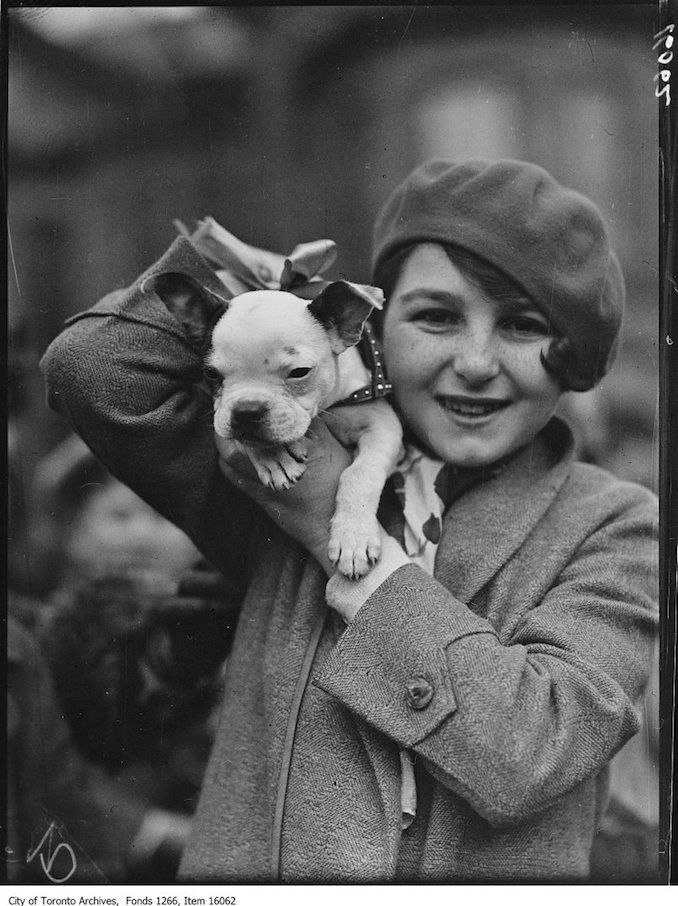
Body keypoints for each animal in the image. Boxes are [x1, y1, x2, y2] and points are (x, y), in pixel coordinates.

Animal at [159, 272, 404, 576]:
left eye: (299, 372)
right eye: (211, 374)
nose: (247, 410)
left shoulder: (381, 422)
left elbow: (360, 473)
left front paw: (353, 537)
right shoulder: (221, 416)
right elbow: (246, 439)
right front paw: (274, 458)